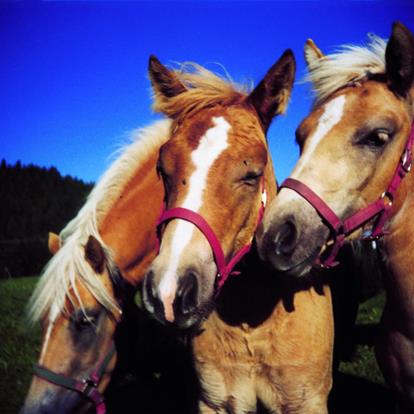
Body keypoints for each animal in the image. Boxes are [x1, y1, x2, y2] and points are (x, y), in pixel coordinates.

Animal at [141, 50, 334, 412]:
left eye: (251, 174)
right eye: (162, 168)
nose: (168, 292)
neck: (252, 323)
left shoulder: (307, 402)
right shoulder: (215, 401)